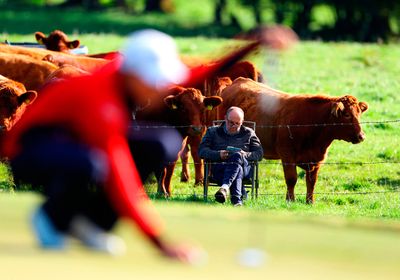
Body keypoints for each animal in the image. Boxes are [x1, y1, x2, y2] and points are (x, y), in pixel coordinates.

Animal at [217, 77, 368, 203]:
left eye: (359, 113)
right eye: (347, 115)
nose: (361, 136)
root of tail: (236, 81)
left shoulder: (316, 161)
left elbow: (311, 181)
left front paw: (310, 202)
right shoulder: (287, 156)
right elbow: (291, 179)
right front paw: (290, 200)